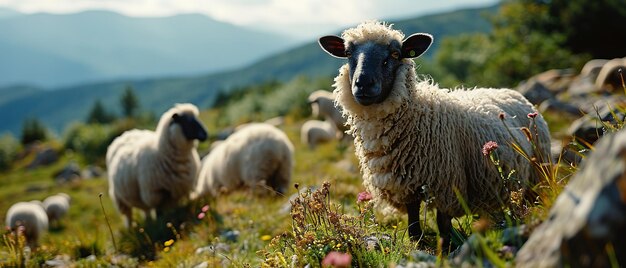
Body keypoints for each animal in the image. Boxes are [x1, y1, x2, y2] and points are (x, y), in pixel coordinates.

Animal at [320, 21, 548, 247]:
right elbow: (413, 220)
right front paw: (417, 242)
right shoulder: (405, 185)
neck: (417, 115)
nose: (363, 84)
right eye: (348, 53)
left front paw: (445, 247)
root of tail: (511, 92)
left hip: (538, 172)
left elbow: (443, 224)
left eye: (395, 54)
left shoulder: (447, 184)